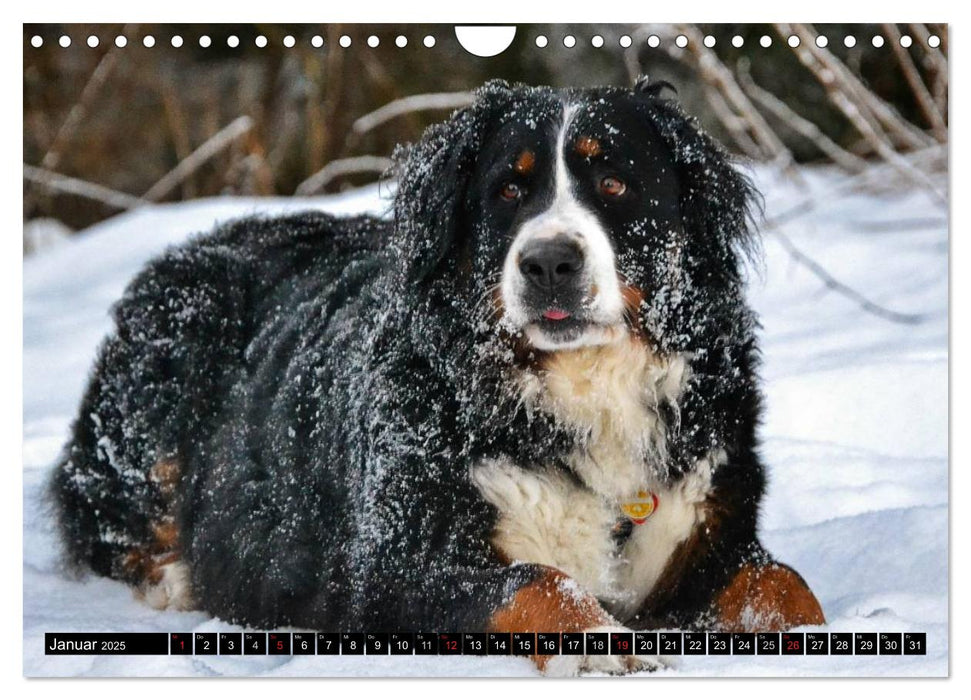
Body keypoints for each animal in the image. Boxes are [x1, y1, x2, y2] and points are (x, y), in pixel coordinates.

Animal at [53, 79, 824, 676]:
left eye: (613, 183)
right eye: (509, 189)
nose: (548, 262)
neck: (580, 388)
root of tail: (207, 239)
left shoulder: (705, 532)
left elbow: (785, 585)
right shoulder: (386, 571)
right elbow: (537, 583)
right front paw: (606, 643)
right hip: (152, 405)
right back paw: (173, 577)